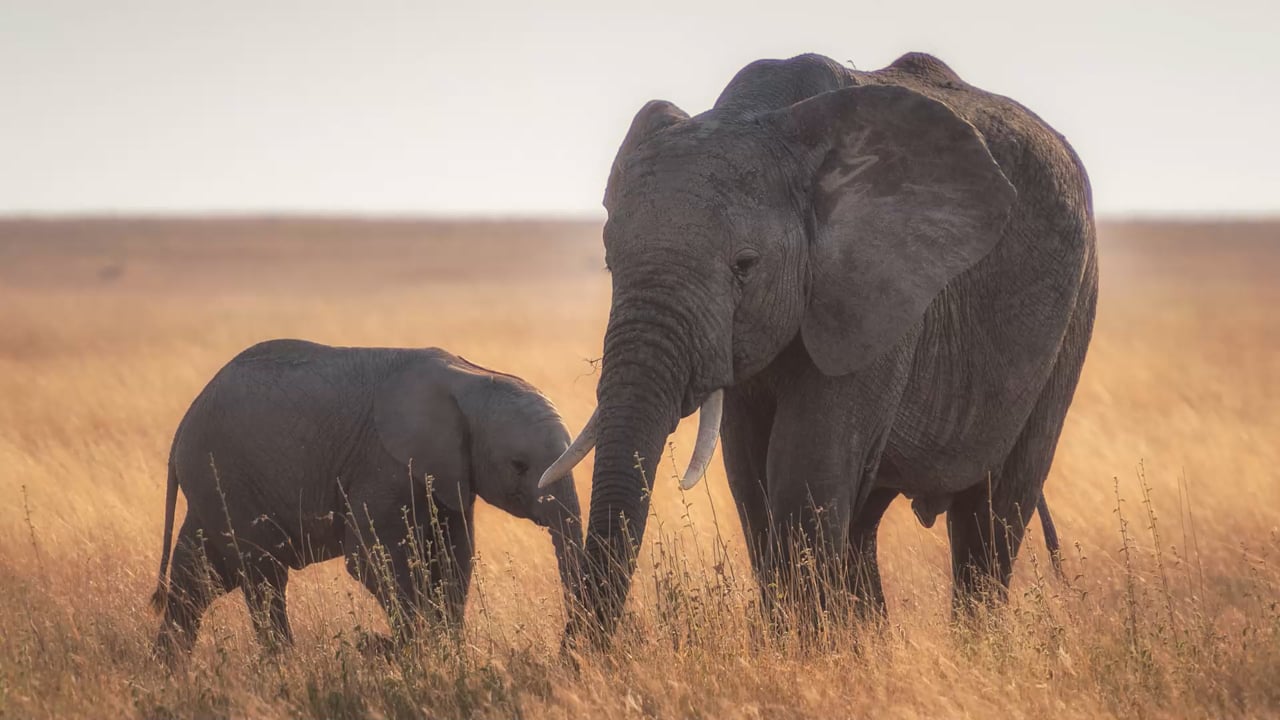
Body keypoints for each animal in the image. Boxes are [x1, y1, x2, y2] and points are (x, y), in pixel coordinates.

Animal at [151, 338, 586, 661]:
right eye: (518, 465)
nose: (569, 648)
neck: (472, 378)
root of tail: (181, 428)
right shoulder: (383, 463)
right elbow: (373, 559)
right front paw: (412, 654)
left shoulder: (448, 475)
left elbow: (454, 559)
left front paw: (447, 655)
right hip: (225, 477)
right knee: (262, 577)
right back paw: (284, 667)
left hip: (214, 486)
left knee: (198, 579)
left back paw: (170, 672)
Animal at [545, 53, 1095, 638]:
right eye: (610, 261)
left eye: (745, 265)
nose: (578, 656)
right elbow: (750, 477)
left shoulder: (877, 290)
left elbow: (804, 469)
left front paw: (804, 650)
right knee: (866, 520)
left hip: (1074, 311)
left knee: (994, 512)